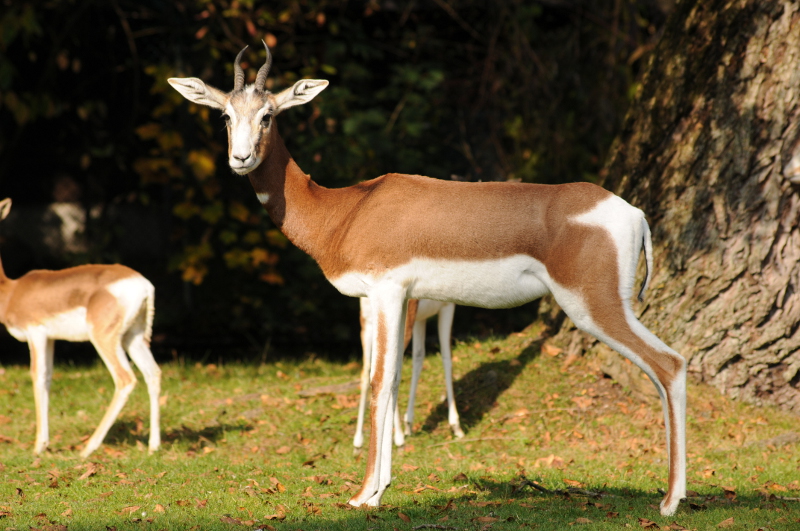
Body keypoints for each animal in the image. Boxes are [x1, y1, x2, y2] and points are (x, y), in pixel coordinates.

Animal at [0, 198, 161, 457]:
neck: (11, 292)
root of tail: (143, 284)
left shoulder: (36, 333)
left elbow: (37, 376)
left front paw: (38, 447)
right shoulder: (51, 338)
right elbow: (48, 378)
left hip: (103, 338)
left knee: (125, 379)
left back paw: (88, 448)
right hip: (133, 337)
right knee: (153, 373)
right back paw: (153, 446)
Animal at [354, 298, 461, 451]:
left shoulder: (421, 319)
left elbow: (418, 358)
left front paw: (409, 424)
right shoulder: (447, 307)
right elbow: (447, 358)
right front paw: (456, 425)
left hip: (367, 326)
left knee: (365, 373)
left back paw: (357, 442)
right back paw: (399, 439)